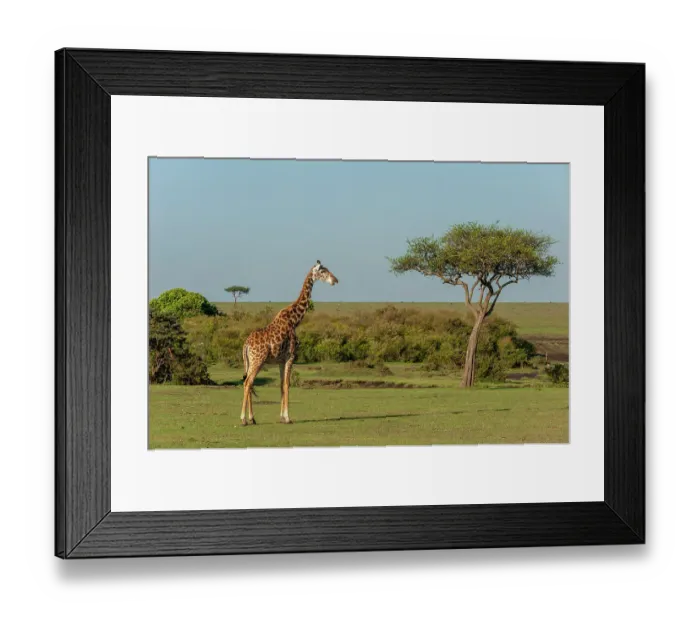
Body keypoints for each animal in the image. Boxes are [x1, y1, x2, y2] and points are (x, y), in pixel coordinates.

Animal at [240, 260, 339, 426]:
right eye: (323, 271)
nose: (335, 280)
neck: (295, 320)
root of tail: (246, 345)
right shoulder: (291, 356)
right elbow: (287, 384)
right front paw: (287, 417)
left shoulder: (281, 360)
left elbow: (281, 385)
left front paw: (281, 417)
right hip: (257, 360)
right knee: (248, 383)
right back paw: (244, 419)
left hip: (249, 361)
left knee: (250, 383)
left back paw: (252, 418)